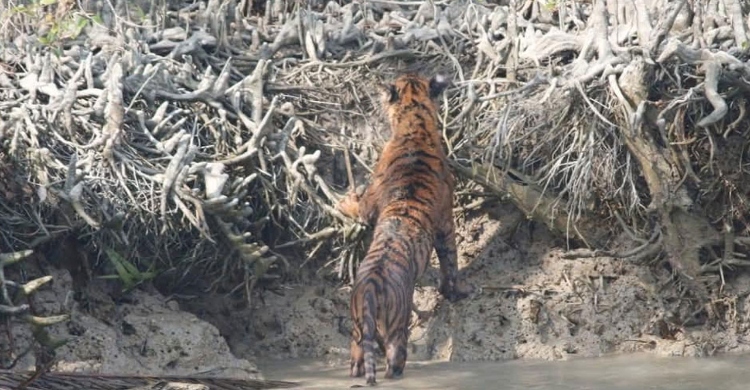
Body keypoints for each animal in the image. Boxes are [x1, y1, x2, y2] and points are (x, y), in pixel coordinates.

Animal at [340, 73, 476, 386]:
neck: (415, 121)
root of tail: (370, 286)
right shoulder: (446, 221)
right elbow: (451, 262)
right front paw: (455, 291)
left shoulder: (373, 201)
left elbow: (357, 206)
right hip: (395, 326)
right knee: (392, 359)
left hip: (359, 329)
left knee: (360, 357)